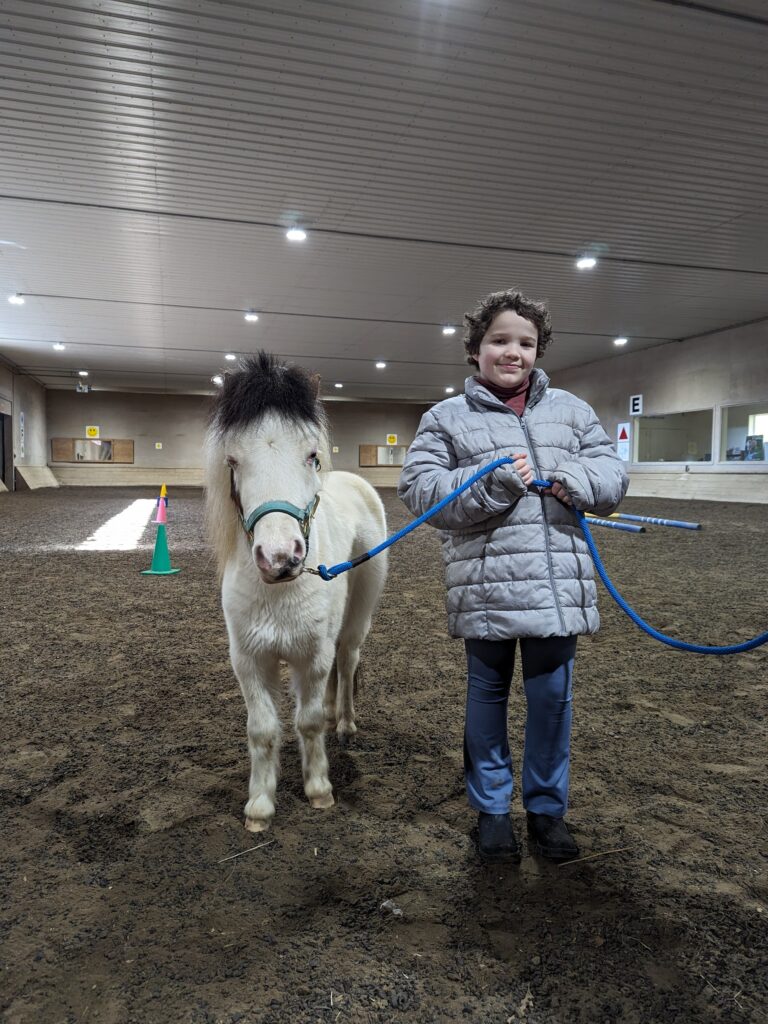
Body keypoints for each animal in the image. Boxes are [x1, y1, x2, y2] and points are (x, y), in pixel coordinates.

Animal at [204, 352, 388, 832]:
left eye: (311, 456)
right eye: (234, 460)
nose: (280, 557)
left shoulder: (313, 656)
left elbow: (307, 722)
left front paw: (319, 790)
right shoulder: (249, 661)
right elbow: (263, 729)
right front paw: (260, 805)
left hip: (357, 618)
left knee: (347, 661)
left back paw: (345, 724)